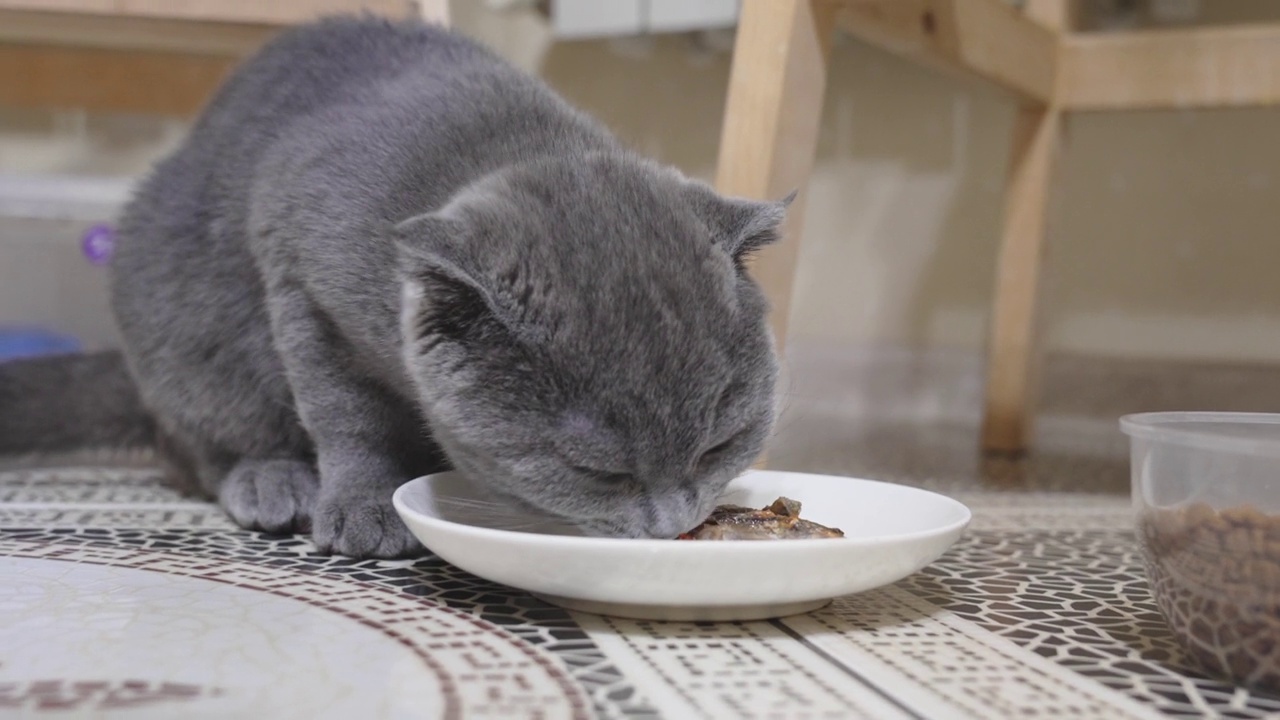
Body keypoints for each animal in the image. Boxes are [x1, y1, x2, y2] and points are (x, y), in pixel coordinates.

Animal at [0, 15, 788, 556]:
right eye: (597, 471)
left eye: (721, 445)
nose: (673, 525)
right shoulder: (303, 290)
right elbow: (350, 419)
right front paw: (365, 509)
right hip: (188, 339)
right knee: (197, 448)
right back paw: (270, 482)